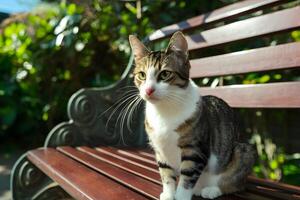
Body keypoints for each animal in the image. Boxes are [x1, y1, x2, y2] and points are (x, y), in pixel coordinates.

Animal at [127, 31, 256, 200]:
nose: (148, 90)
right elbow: (166, 173)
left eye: (165, 74)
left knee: (236, 182)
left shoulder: (194, 148)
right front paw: (168, 194)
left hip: (243, 152)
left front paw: (181, 196)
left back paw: (212, 190)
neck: (164, 111)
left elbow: (188, 174)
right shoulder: (160, 151)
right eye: (142, 75)